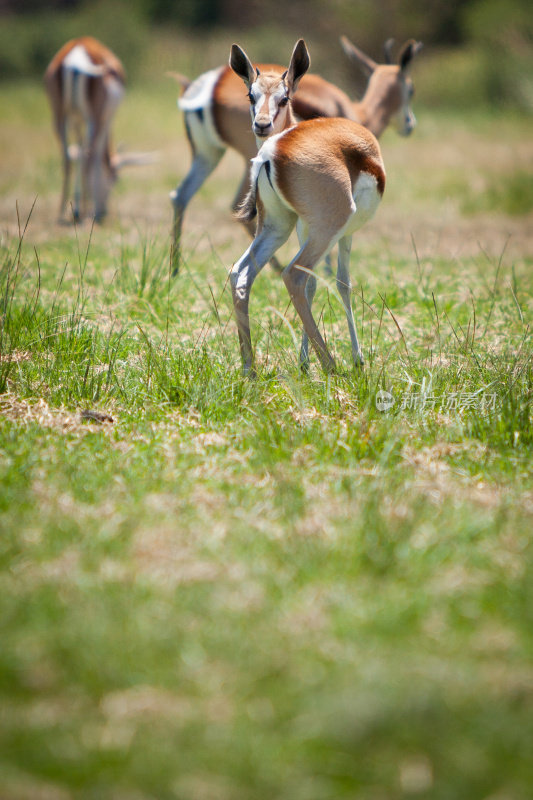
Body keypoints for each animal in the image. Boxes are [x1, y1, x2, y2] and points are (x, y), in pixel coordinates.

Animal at [44, 36, 125, 223]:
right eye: (114, 179)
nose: (105, 209)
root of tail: (77, 57)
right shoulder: (106, 121)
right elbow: (93, 157)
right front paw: (92, 209)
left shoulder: (76, 121)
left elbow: (79, 152)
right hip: (92, 119)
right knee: (89, 158)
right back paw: (86, 211)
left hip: (59, 117)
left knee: (67, 159)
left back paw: (64, 211)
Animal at [168, 37, 418, 270]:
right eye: (411, 89)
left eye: (284, 98)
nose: (409, 124)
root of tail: (209, 86)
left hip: (209, 154)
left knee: (181, 195)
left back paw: (175, 269)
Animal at [228, 45, 382, 376]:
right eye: (251, 95)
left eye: (283, 98)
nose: (261, 124)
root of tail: (273, 150)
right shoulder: (343, 233)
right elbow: (342, 283)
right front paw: (357, 359)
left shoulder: (303, 228)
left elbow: (314, 286)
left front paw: (303, 361)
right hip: (327, 228)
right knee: (293, 276)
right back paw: (331, 364)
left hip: (278, 228)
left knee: (240, 273)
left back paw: (249, 368)